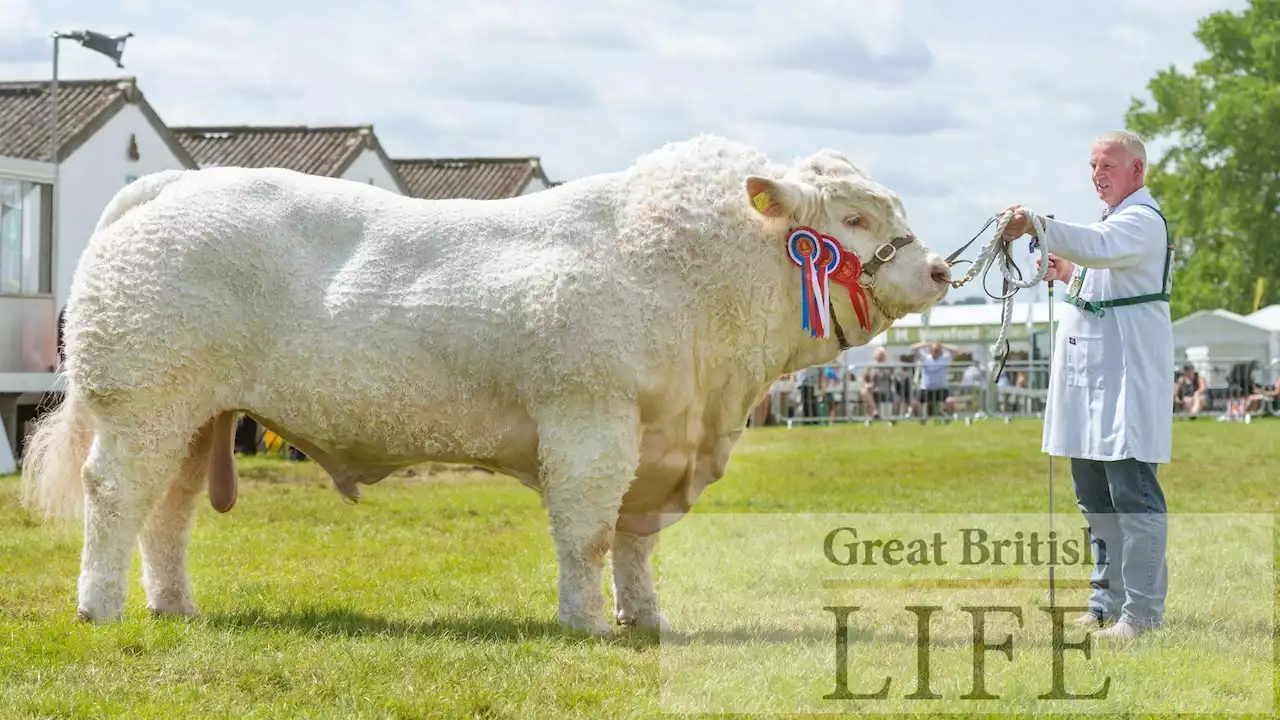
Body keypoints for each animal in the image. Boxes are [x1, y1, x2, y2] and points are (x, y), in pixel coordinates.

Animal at [20, 134, 952, 632]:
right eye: (854, 218)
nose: (941, 269)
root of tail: (168, 184)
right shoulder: (590, 420)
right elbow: (588, 533)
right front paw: (586, 621)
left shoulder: (659, 444)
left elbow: (636, 542)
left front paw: (644, 618)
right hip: (143, 402)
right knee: (116, 498)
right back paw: (98, 607)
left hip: (198, 414)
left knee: (167, 513)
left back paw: (174, 607)